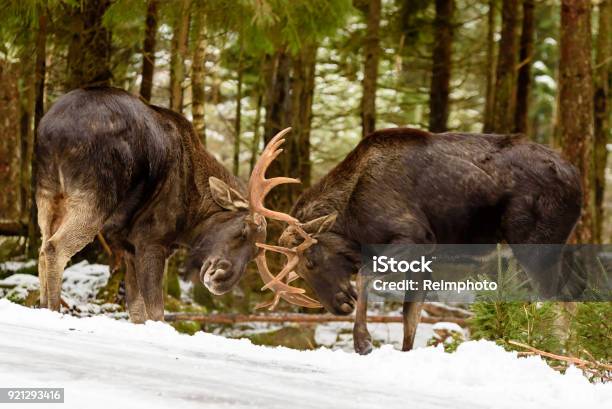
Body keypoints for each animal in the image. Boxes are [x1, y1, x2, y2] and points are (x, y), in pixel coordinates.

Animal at [33, 87, 314, 320]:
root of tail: (54, 131)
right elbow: (157, 312)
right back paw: (53, 310)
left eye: (257, 253)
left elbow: (137, 311)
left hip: (47, 194)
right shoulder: (152, 241)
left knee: (42, 248)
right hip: (94, 196)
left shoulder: (128, 247)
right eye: (244, 229)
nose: (221, 280)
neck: (191, 217)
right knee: (55, 248)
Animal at [258, 127, 584, 354]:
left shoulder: (417, 238)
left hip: (536, 245)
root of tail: (578, 179)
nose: (338, 306)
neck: (353, 218)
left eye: (310, 262)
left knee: (557, 303)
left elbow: (365, 275)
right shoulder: (424, 261)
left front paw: (363, 342)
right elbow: (410, 316)